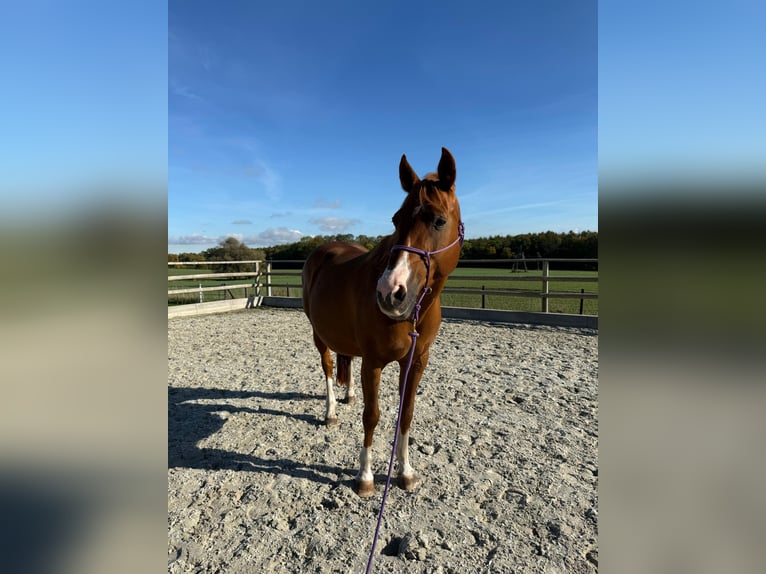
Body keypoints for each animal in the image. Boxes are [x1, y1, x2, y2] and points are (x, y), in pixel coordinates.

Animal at [302, 147, 463, 498]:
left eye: (439, 220)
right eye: (395, 220)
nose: (390, 292)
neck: (413, 314)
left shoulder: (416, 361)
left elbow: (406, 414)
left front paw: (406, 472)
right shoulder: (373, 362)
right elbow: (372, 415)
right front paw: (365, 477)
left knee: (345, 361)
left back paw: (348, 395)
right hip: (319, 335)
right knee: (328, 368)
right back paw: (331, 412)